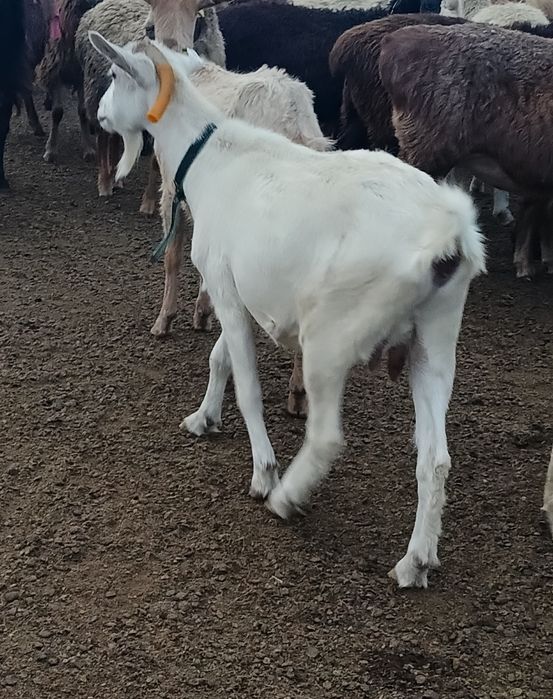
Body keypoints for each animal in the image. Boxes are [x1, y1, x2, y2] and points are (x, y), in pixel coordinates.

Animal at [89, 31, 485, 588]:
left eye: (115, 75)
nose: (100, 114)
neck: (208, 156)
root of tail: (449, 234)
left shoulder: (225, 288)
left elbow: (249, 388)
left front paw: (262, 469)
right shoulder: (236, 290)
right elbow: (220, 358)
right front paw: (203, 417)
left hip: (332, 334)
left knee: (326, 437)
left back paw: (286, 496)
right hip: (436, 338)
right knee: (436, 458)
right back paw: (416, 559)